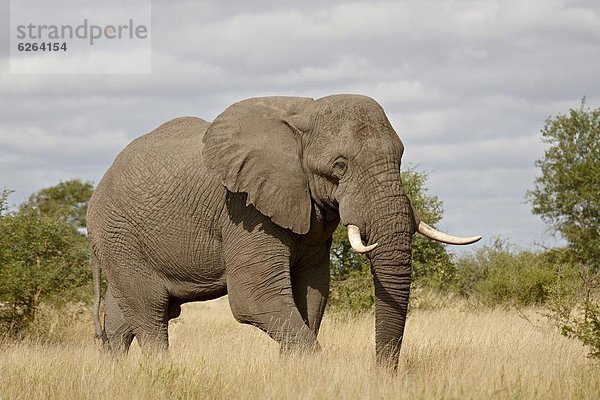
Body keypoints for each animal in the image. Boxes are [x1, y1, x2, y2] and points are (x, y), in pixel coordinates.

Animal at [88, 94, 482, 368]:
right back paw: (162, 372)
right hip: (118, 233)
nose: (382, 374)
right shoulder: (244, 209)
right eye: (339, 166)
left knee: (125, 320)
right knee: (151, 312)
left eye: (400, 158)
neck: (304, 114)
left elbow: (312, 294)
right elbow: (255, 299)